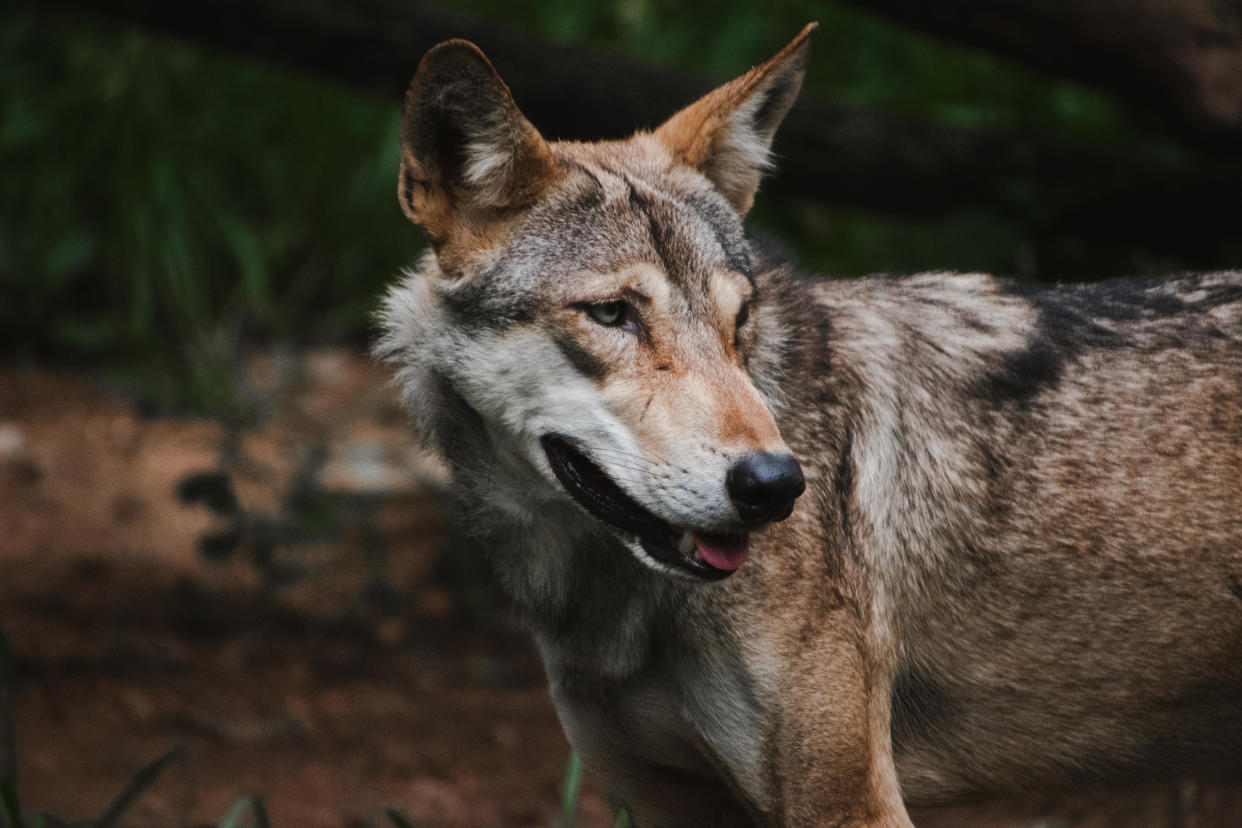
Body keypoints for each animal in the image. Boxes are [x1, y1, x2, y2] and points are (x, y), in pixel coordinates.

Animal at [375, 25, 1242, 828]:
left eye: (740, 321)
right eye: (613, 314)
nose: (776, 485)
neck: (615, 604)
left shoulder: (850, 804)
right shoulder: (661, 801)